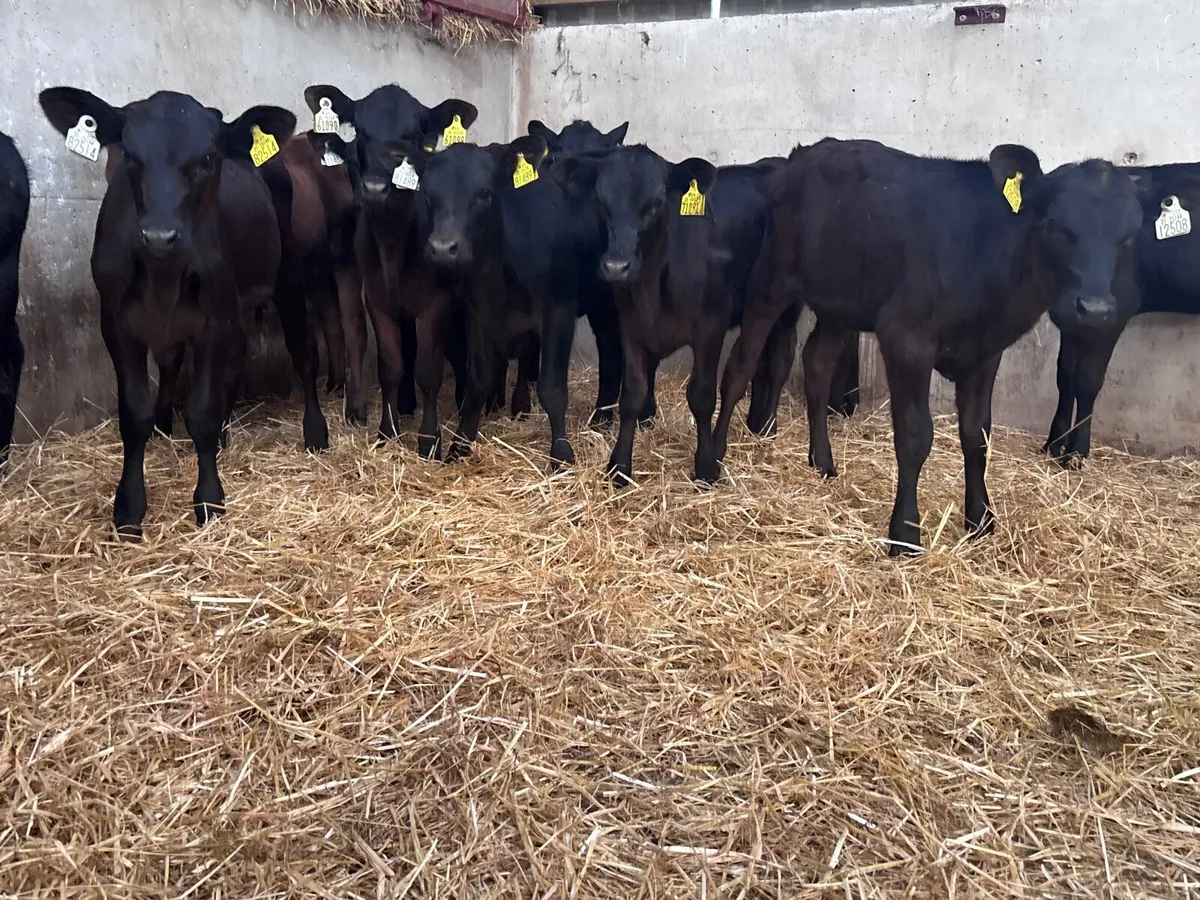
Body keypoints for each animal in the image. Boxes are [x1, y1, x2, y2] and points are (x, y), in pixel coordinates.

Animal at [39, 87, 329, 538]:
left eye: (207, 159)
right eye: (130, 156)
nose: (159, 235)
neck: (163, 276)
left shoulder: (212, 321)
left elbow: (202, 412)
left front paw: (209, 499)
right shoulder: (116, 324)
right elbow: (134, 413)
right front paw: (129, 508)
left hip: (287, 273)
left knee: (302, 352)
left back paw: (315, 432)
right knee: (230, 359)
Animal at [302, 84, 477, 457]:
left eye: (412, 135)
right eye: (361, 131)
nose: (374, 188)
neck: (394, 243)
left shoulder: (435, 304)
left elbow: (428, 370)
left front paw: (429, 440)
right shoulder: (378, 301)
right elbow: (391, 367)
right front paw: (389, 429)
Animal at [711, 138, 1141, 555]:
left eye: (1129, 236)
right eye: (1055, 226)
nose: (1096, 308)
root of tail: (805, 153)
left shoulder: (986, 353)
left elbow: (977, 435)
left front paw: (980, 521)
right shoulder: (905, 338)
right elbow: (915, 435)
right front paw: (905, 534)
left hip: (840, 304)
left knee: (817, 363)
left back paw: (823, 463)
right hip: (771, 279)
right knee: (739, 366)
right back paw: (712, 461)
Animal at [1044, 165, 1200, 466]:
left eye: (1130, 235)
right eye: (1055, 226)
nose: (1094, 306)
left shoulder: (1113, 317)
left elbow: (1087, 381)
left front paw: (1076, 452)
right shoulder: (1071, 321)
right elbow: (1065, 376)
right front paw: (1053, 445)